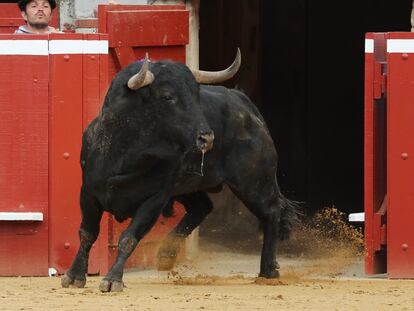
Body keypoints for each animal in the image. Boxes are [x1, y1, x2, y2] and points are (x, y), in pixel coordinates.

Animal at [60, 50, 298, 292]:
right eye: (167, 96)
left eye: (196, 95)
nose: (206, 138)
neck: (125, 150)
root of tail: (244, 104)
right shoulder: (88, 193)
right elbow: (87, 233)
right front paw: (74, 276)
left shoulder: (154, 199)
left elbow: (128, 238)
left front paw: (112, 279)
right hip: (190, 187)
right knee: (202, 207)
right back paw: (166, 254)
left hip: (253, 183)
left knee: (271, 212)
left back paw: (268, 270)